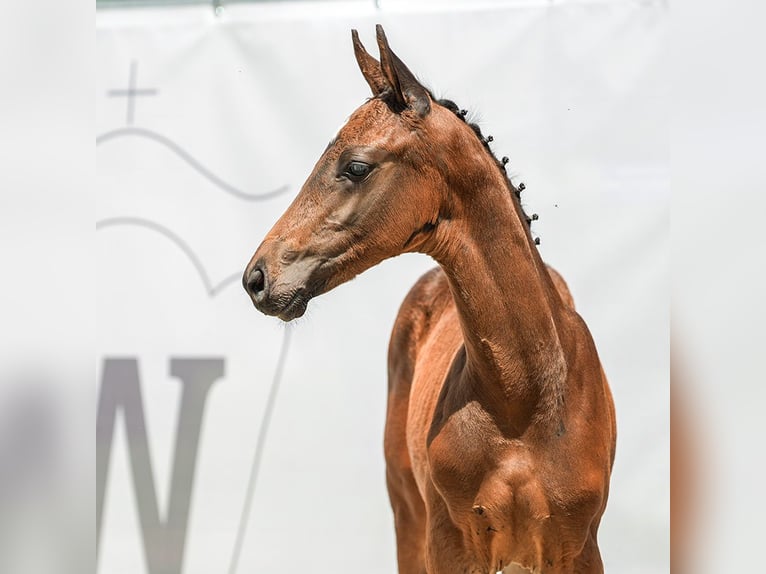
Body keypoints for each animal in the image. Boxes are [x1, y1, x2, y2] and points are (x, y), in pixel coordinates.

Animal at [246, 24, 616, 572]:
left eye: (356, 166)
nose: (256, 277)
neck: (524, 399)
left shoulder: (579, 547)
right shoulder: (448, 541)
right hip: (407, 510)